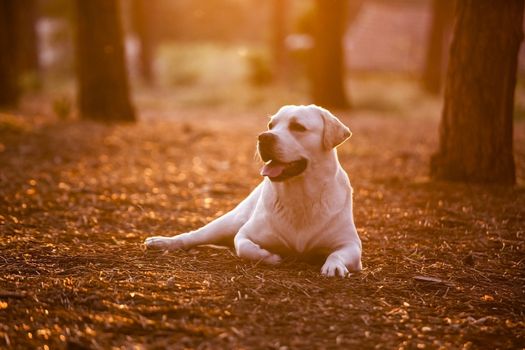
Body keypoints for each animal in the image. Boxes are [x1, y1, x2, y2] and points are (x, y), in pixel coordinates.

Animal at [145, 104, 362, 276]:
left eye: (298, 127)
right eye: (271, 126)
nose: (263, 137)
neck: (300, 195)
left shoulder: (352, 244)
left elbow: (337, 254)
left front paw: (334, 266)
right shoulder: (245, 234)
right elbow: (245, 247)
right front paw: (271, 256)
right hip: (227, 222)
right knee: (192, 236)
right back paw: (161, 242)